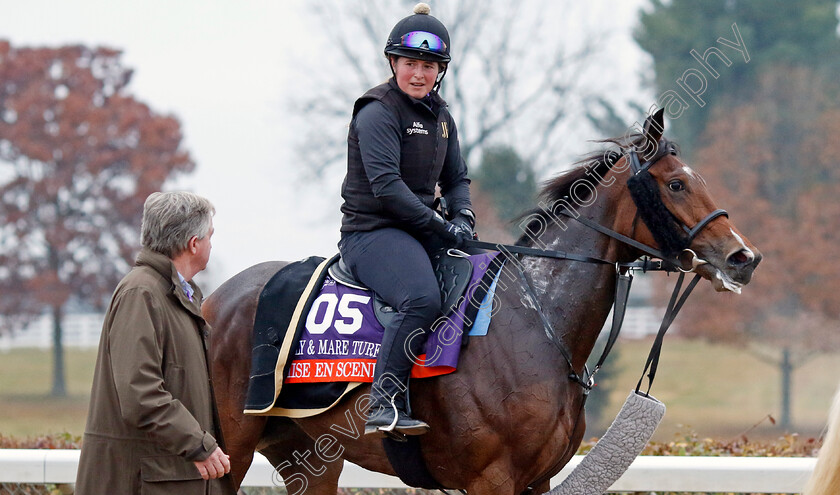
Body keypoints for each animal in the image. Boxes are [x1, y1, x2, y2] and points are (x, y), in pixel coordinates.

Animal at [202, 110, 760, 494]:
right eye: (676, 183)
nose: (743, 258)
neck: (536, 321)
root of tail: (211, 300)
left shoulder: (536, 481)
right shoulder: (491, 479)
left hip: (304, 455)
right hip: (232, 447)